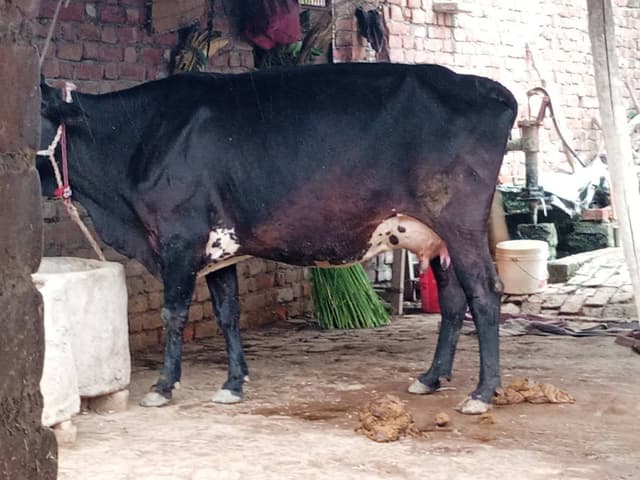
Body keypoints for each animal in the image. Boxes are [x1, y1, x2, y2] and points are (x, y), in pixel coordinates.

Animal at [38, 63, 517, 414]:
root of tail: (487, 88)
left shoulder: (179, 237)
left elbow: (173, 313)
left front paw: (162, 386)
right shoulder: (219, 247)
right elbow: (227, 313)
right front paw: (234, 383)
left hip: (460, 224)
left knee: (485, 292)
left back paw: (482, 393)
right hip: (433, 238)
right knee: (453, 299)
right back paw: (431, 378)